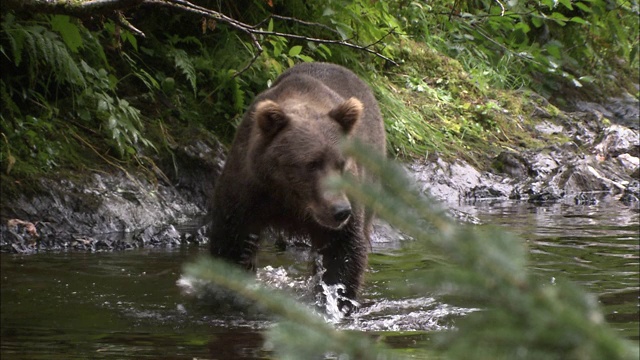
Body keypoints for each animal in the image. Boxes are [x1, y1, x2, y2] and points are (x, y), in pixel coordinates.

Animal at [209, 62, 384, 312]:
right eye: (312, 164)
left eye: (341, 163)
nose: (340, 211)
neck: (292, 198)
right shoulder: (248, 189)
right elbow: (232, 240)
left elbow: (343, 250)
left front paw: (335, 300)